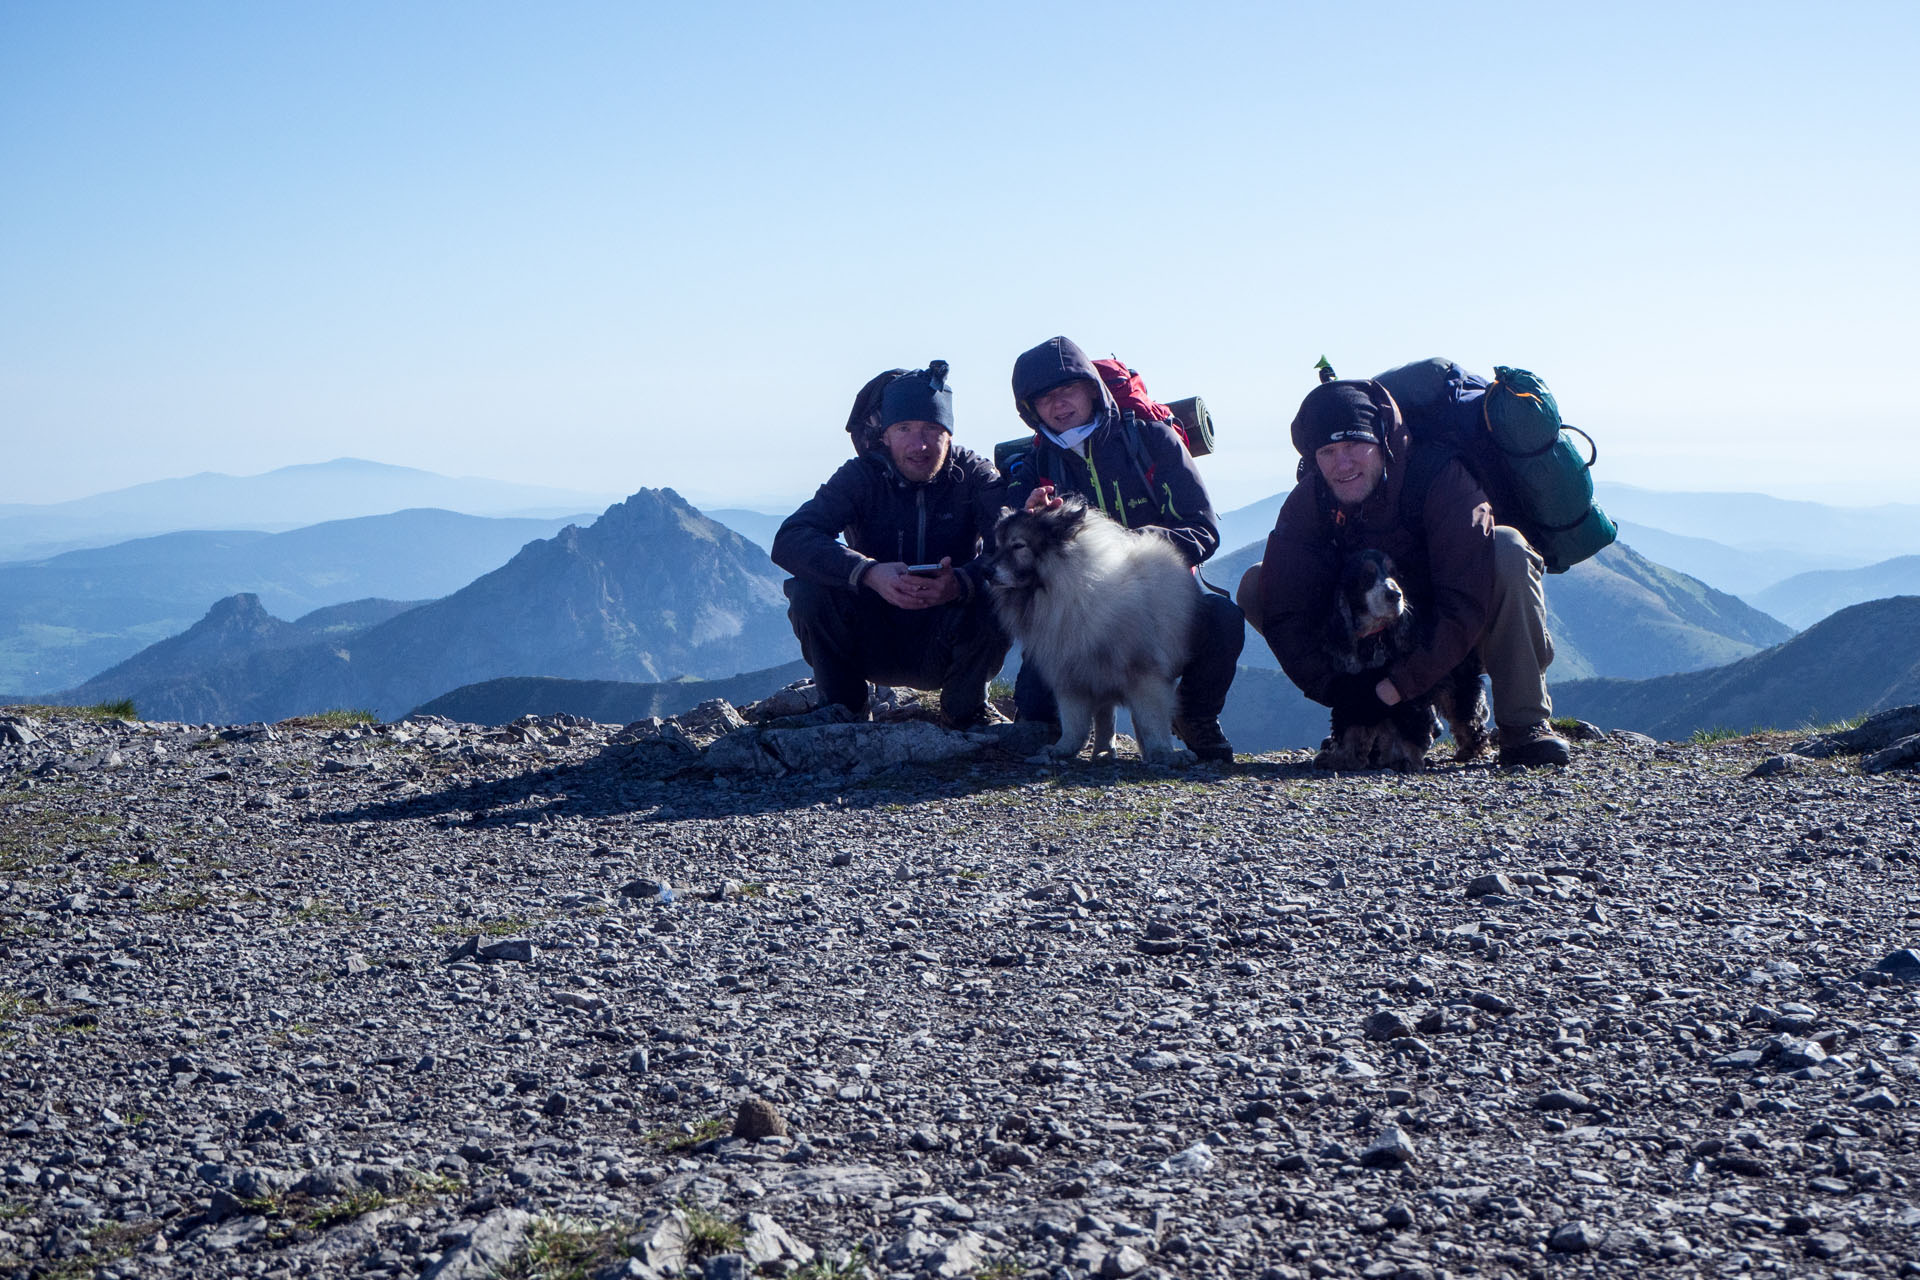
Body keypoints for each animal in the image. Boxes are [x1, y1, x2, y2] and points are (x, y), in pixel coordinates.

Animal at [998, 498, 1190, 759]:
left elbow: (1151, 719)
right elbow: (1074, 722)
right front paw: (1063, 748)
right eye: (997, 546)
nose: (985, 570)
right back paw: (1103, 750)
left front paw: (1161, 751)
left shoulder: (1146, 676)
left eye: (1018, 545)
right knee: (1105, 715)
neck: (1074, 595)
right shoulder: (1070, 678)